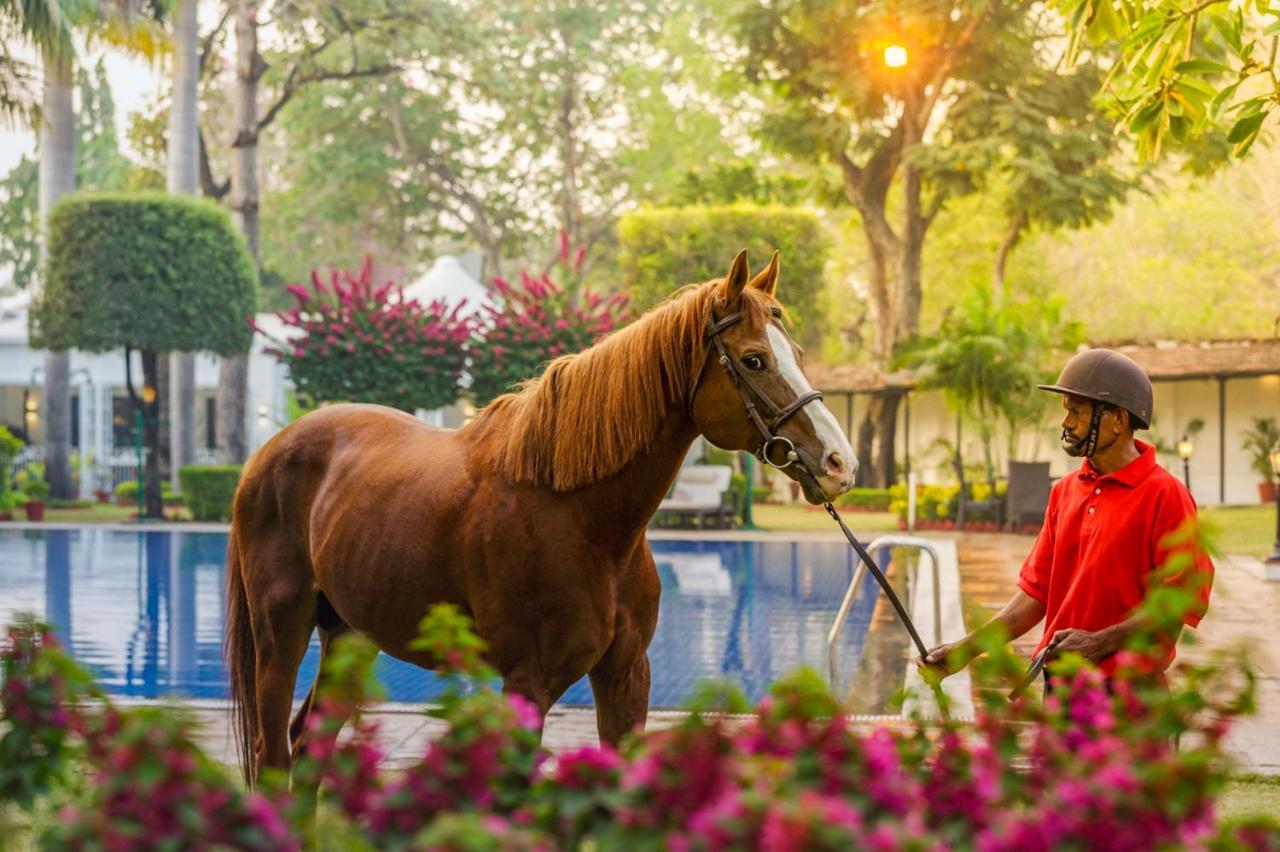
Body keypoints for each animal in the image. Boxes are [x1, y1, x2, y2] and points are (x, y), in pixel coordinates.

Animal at [225, 249, 855, 777]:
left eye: (797, 356)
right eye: (754, 359)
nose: (839, 462)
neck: (584, 520)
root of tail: (268, 452)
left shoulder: (627, 675)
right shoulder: (528, 685)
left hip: (350, 633)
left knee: (310, 742)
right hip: (281, 632)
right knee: (273, 752)